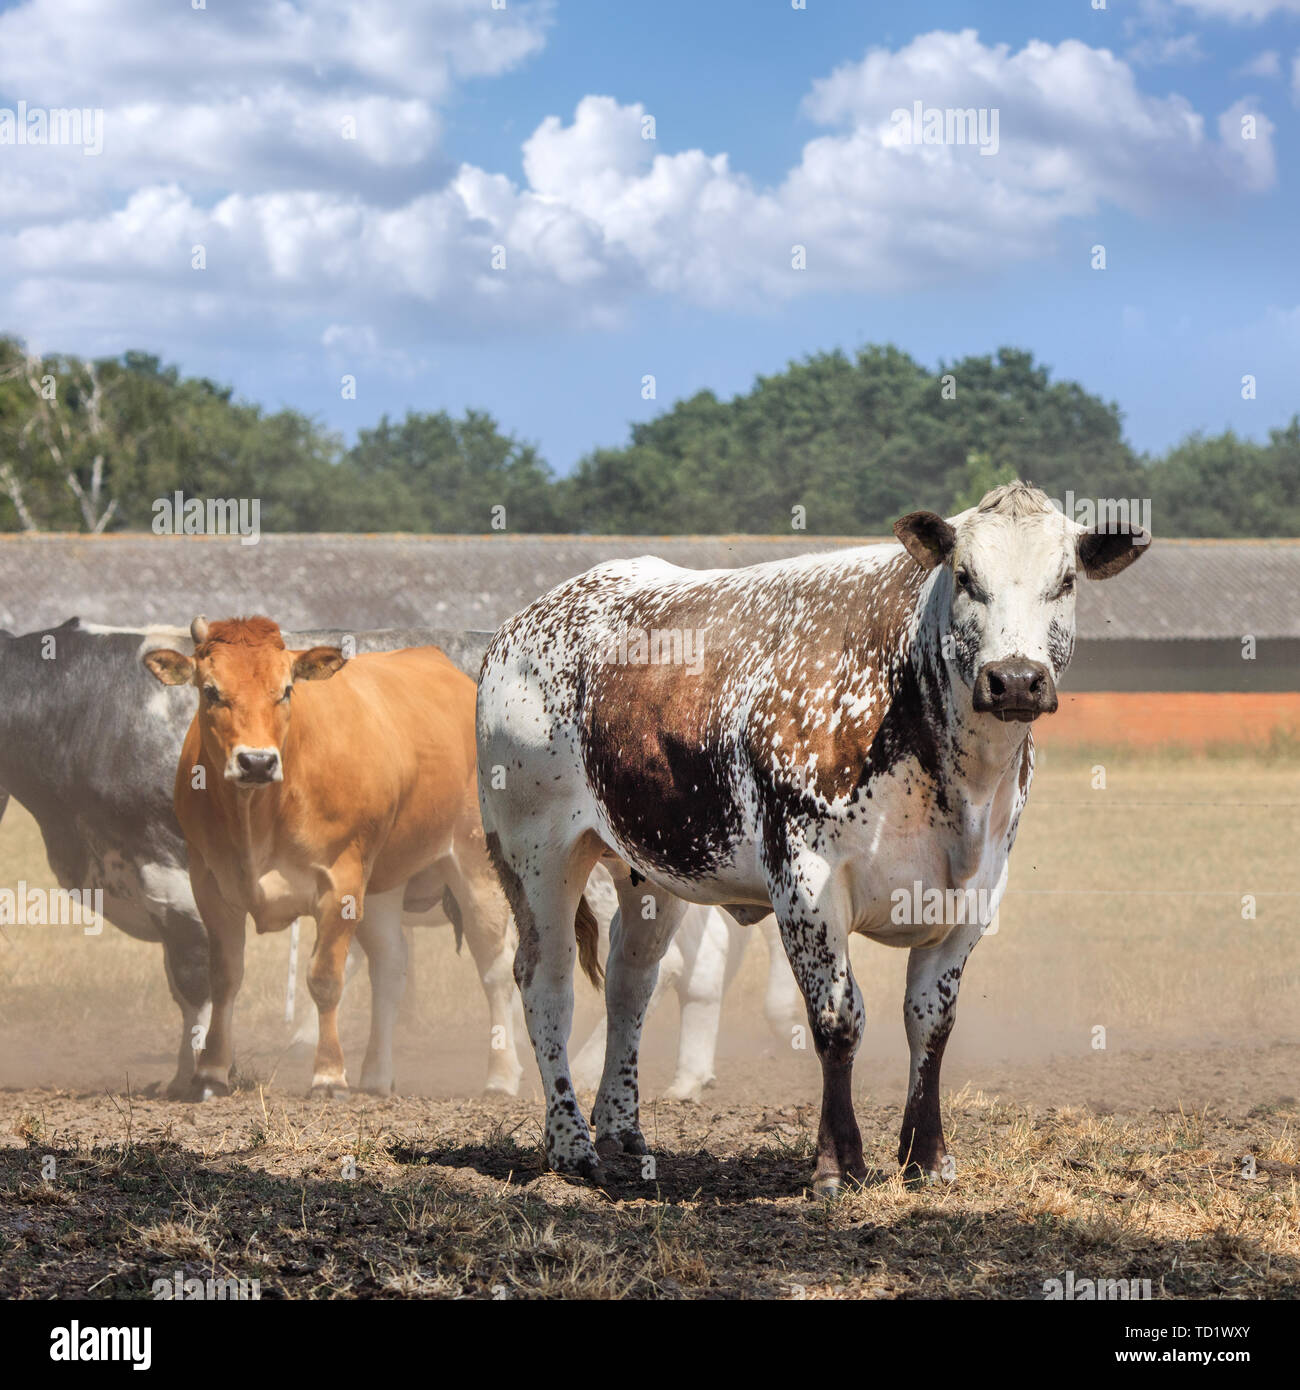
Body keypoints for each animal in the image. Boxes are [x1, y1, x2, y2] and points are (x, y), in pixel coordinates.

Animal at [478, 483, 1151, 1189]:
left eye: (1066, 580)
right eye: (966, 577)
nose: (1016, 678)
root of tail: (525, 622)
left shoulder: (974, 895)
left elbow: (930, 1023)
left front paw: (927, 1157)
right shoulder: (806, 881)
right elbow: (838, 1020)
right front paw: (837, 1162)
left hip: (649, 871)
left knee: (631, 982)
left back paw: (622, 1133)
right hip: (536, 855)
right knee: (546, 982)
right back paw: (570, 1144)